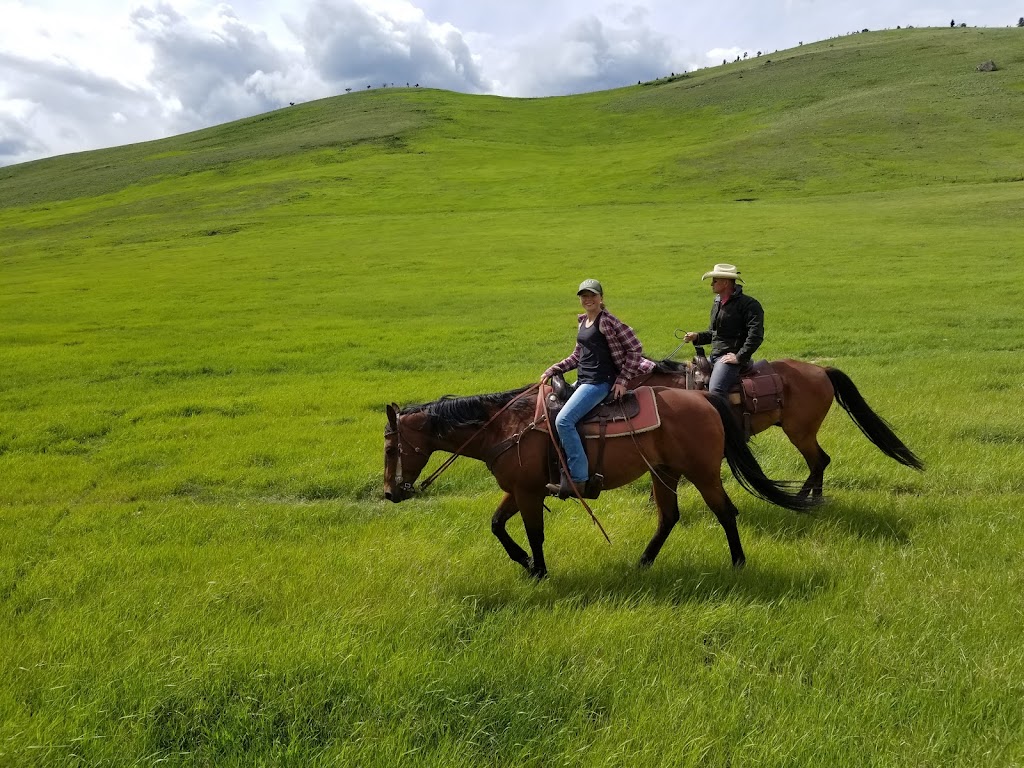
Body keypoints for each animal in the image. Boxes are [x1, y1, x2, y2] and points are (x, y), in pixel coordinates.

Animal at [385, 385, 815, 577]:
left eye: (391, 448)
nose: (389, 493)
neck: (503, 427)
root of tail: (704, 398)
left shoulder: (526, 492)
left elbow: (534, 532)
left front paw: (538, 569)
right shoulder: (519, 490)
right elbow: (497, 525)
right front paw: (524, 562)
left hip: (703, 473)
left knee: (725, 511)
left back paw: (738, 563)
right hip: (664, 473)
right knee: (668, 517)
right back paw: (643, 561)